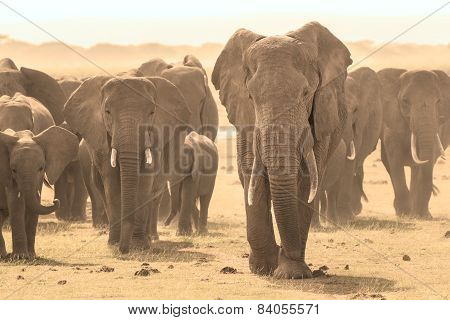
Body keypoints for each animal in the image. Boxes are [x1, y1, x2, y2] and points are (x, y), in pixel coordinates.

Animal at [0, 93, 78, 258]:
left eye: (41, 168)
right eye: (13, 170)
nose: (55, 200)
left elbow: (33, 200)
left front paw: (30, 256)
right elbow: (16, 201)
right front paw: (20, 257)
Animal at [64, 76, 191, 254]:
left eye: (152, 112)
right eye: (107, 112)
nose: (124, 250)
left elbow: (144, 182)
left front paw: (139, 246)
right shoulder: (102, 137)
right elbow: (111, 183)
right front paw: (114, 244)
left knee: (154, 193)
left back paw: (150, 239)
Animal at [211, 21, 352, 278]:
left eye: (306, 93)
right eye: (251, 96)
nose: (285, 252)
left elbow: (305, 180)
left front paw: (292, 272)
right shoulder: (246, 119)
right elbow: (252, 173)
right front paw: (264, 268)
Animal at [378, 69, 448, 219]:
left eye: (438, 101)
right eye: (405, 101)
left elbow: (429, 157)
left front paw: (422, 215)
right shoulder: (392, 120)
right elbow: (395, 157)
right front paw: (404, 214)